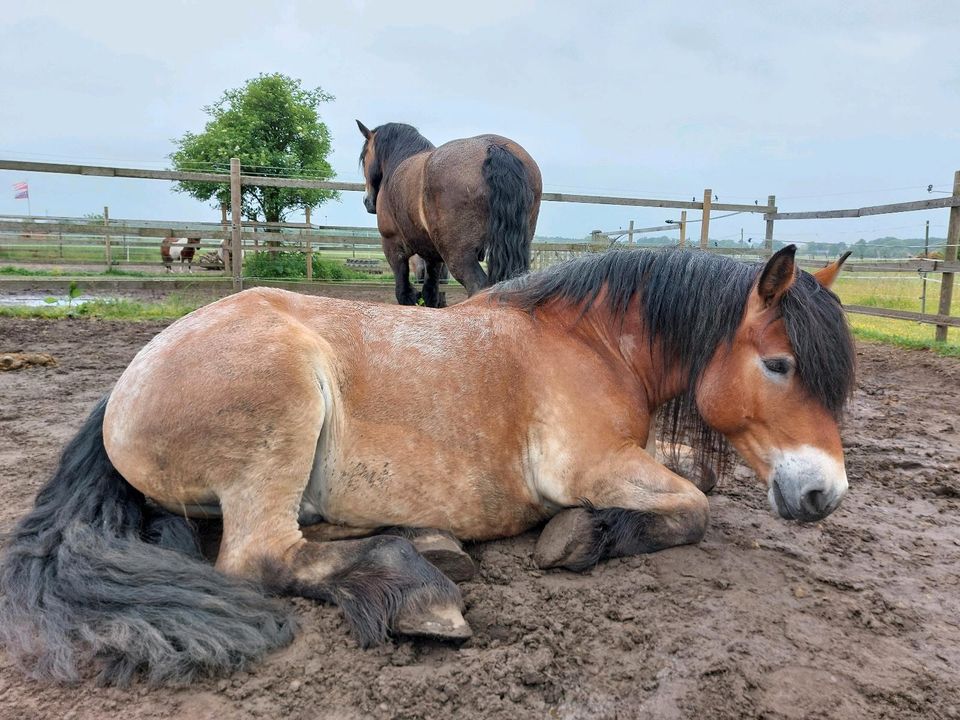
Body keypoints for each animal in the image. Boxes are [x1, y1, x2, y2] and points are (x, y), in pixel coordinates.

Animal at [0, 245, 856, 684]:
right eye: (780, 364)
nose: (825, 493)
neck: (589, 343)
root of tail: (124, 386)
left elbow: (697, 480)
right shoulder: (585, 467)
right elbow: (693, 508)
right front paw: (582, 536)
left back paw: (428, 544)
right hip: (283, 415)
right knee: (261, 556)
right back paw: (420, 591)